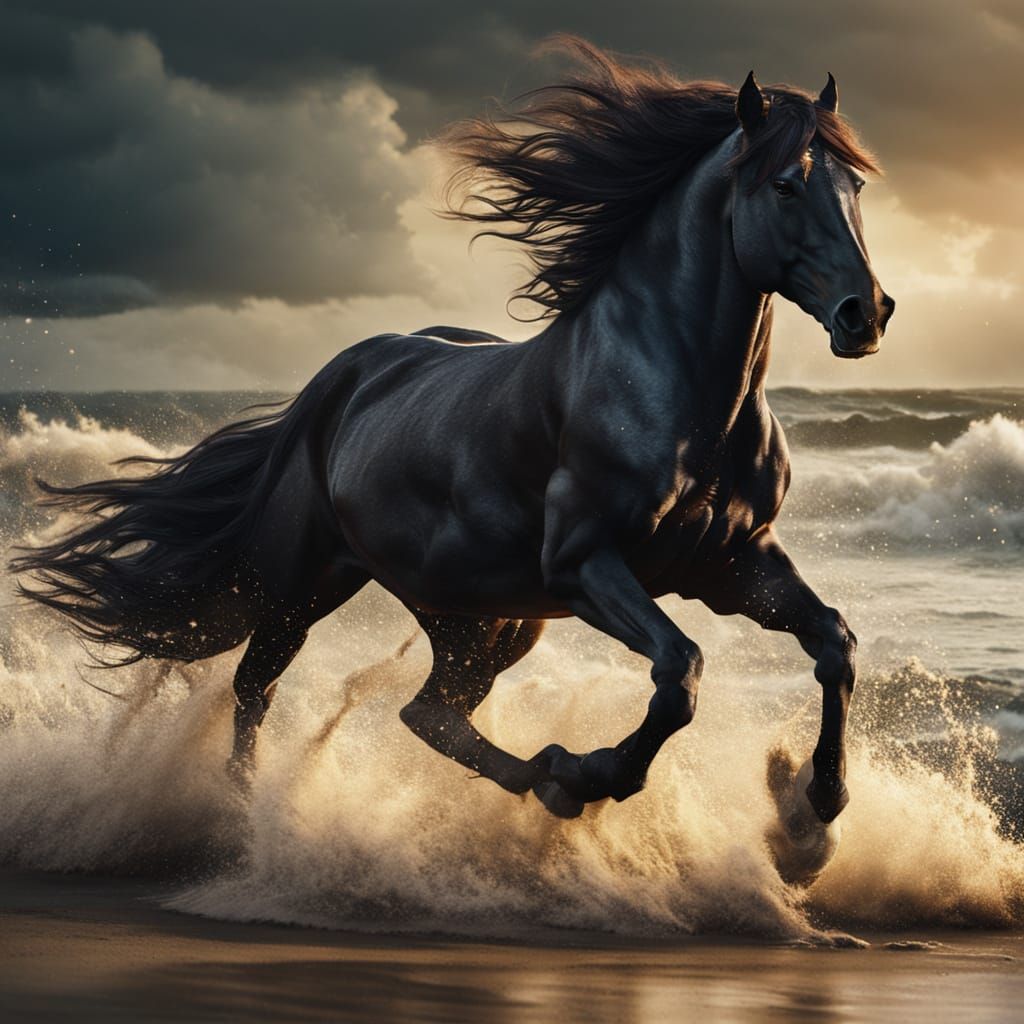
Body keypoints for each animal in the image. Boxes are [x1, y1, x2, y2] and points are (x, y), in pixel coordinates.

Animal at [12, 41, 893, 866]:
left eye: (855, 188)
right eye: (786, 185)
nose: (867, 313)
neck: (678, 391)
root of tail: (342, 377)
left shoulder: (733, 564)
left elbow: (834, 644)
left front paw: (814, 809)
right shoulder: (588, 564)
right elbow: (680, 673)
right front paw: (610, 770)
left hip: (482, 617)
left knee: (428, 711)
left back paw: (549, 778)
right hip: (304, 584)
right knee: (257, 687)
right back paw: (242, 819)